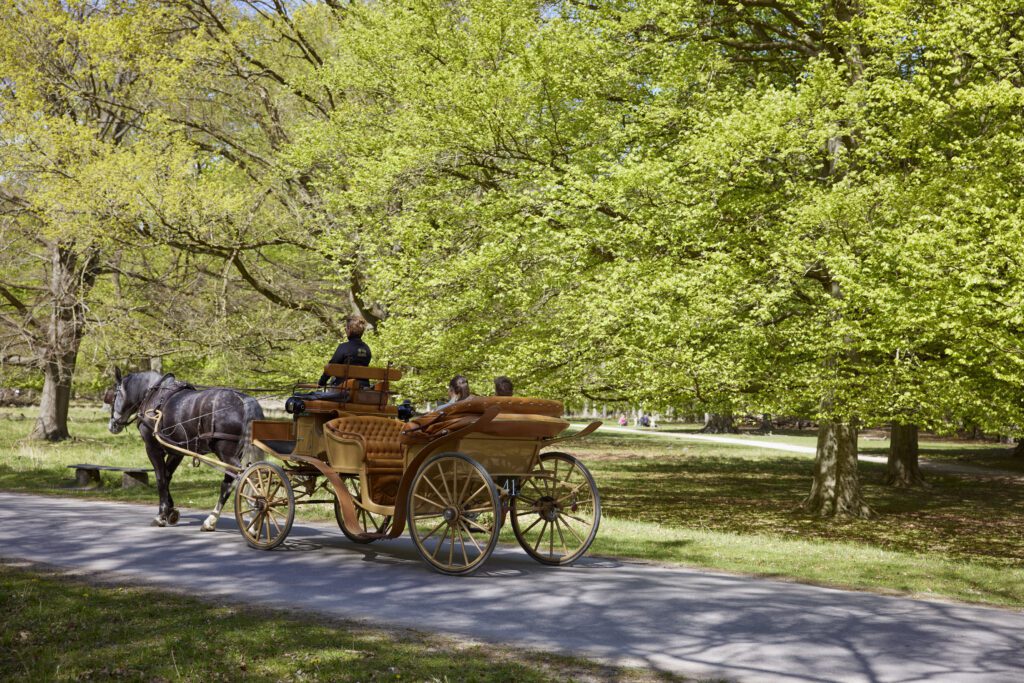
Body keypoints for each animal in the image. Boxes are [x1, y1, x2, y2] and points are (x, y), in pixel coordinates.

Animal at [107, 368, 264, 528]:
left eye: (114, 396)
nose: (112, 425)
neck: (154, 397)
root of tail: (244, 401)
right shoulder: (176, 451)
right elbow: (167, 476)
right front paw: (171, 511)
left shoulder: (153, 448)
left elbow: (160, 478)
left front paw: (161, 514)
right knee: (243, 479)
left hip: (226, 453)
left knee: (241, 477)